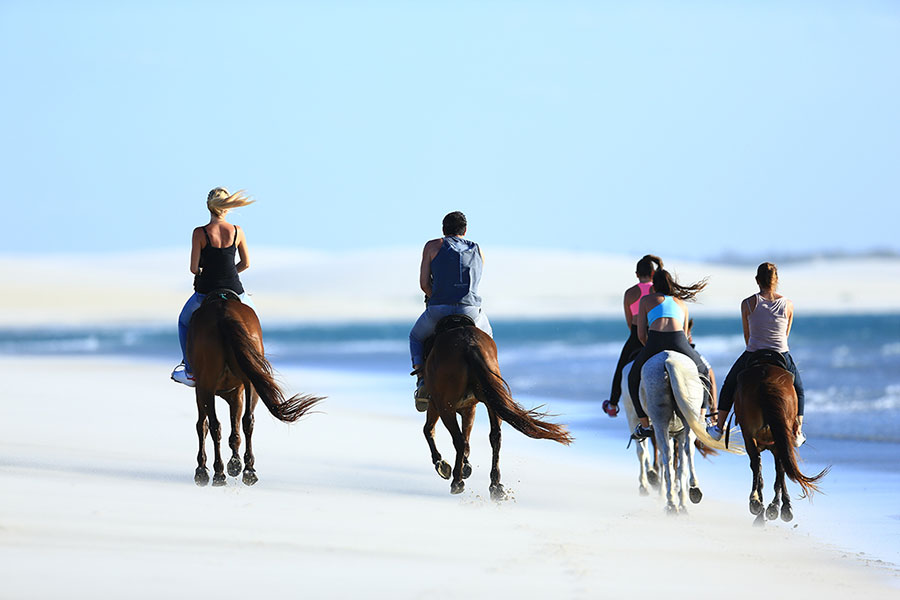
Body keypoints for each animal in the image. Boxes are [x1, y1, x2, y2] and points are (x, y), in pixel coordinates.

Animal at [186, 290, 324, 487]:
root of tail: (223, 313)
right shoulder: (236, 394)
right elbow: (235, 428)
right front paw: (235, 464)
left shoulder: (205, 391)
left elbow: (203, 426)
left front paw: (203, 469)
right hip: (249, 383)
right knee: (247, 421)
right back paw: (248, 470)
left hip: (207, 385)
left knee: (214, 425)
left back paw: (219, 473)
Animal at [420, 316, 573, 500]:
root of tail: (469, 345)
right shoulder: (469, 407)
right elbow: (466, 436)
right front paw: (465, 465)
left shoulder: (438, 404)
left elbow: (429, 430)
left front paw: (443, 464)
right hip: (490, 400)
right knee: (495, 437)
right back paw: (495, 486)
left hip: (445, 406)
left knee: (458, 439)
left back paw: (457, 481)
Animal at [638, 351, 744, 514]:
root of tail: (668, 359)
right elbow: (680, 465)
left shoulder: (674, 434)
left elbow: (677, 465)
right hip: (683, 419)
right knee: (685, 451)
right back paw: (689, 491)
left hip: (662, 419)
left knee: (671, 454)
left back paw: (673, 501)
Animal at [732, 351, 828, 525]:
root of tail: (765, 380)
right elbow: (779, 471)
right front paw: (780, 507)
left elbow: (775, 472)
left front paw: (773, 507)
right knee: (767, 465)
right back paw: (762, 504)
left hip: (755, 435)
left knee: (759, 463)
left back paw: (757, 503)